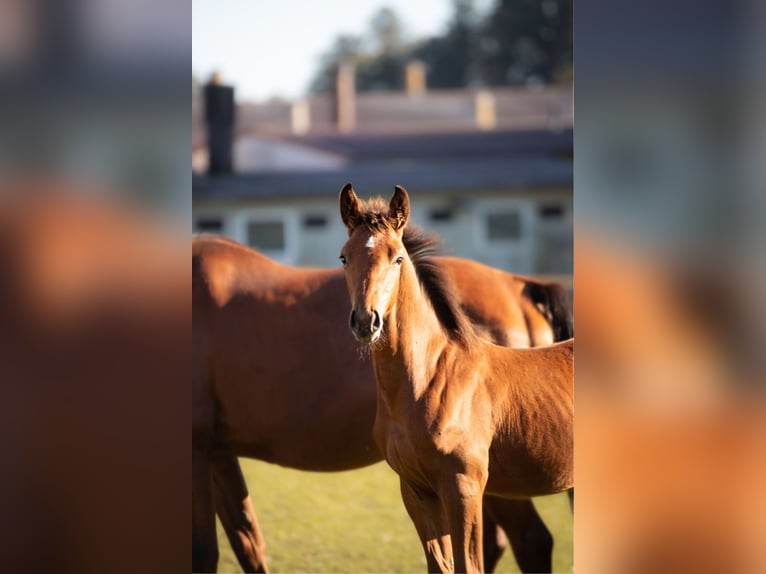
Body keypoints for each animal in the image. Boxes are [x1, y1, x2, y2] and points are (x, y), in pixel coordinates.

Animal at [340, 184, 572, 574]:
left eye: (397, 258)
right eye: (344, 257)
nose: (365, 322)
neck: (431, 380)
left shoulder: (464, 488)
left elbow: (468, 565)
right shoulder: (416, 491)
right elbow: (441, 565)